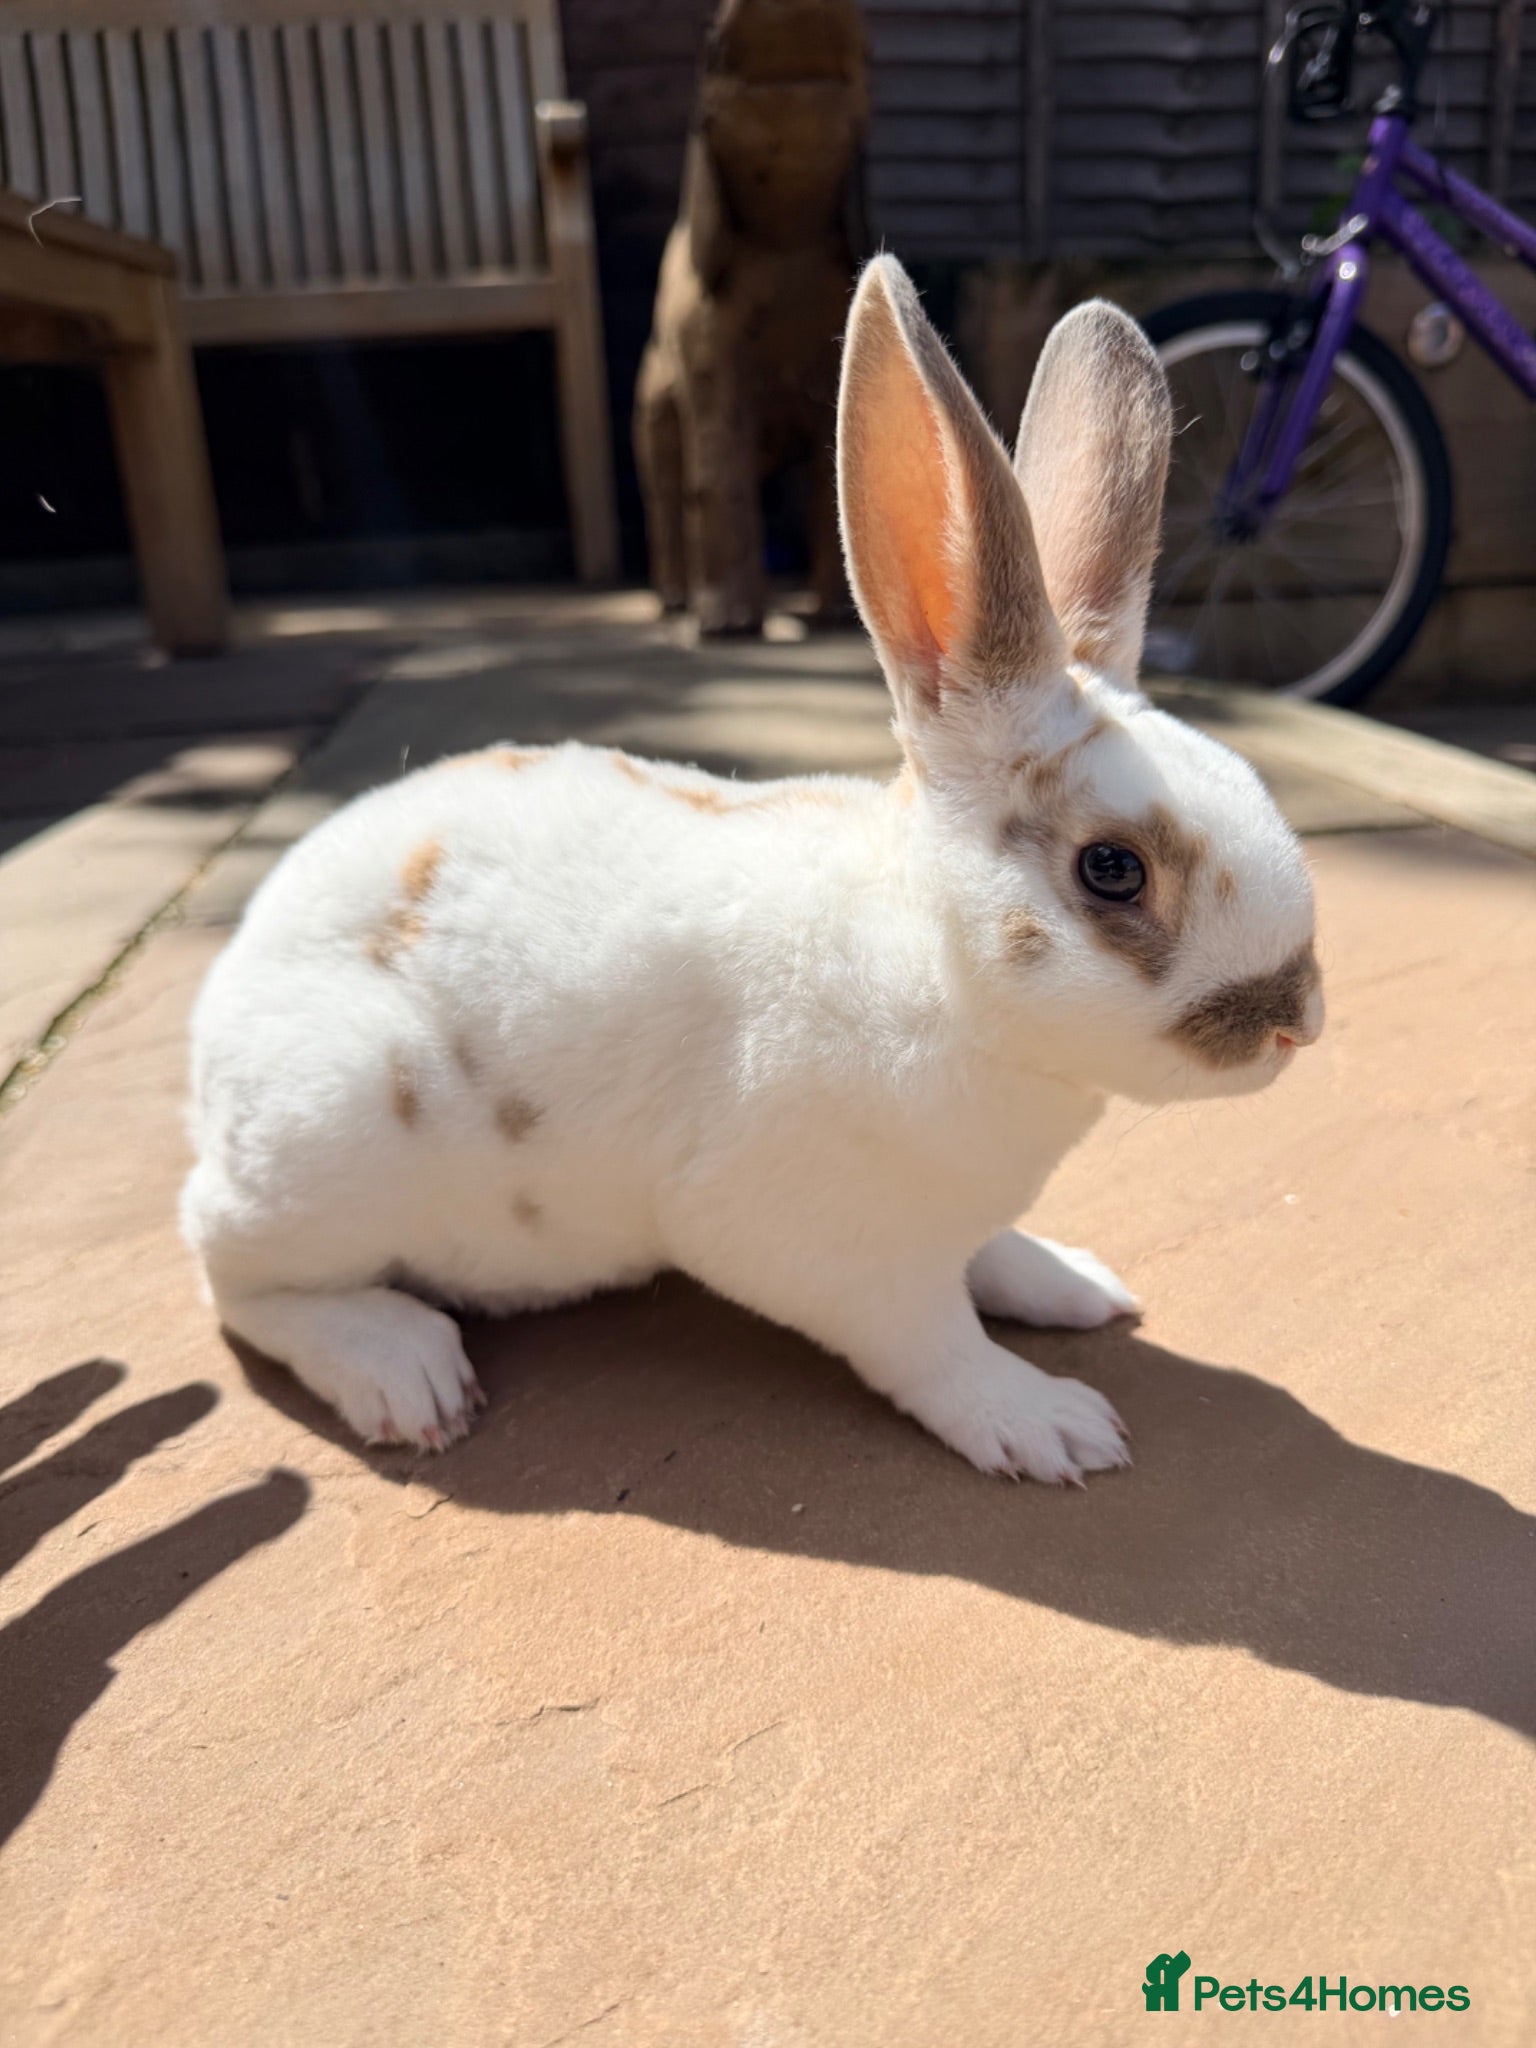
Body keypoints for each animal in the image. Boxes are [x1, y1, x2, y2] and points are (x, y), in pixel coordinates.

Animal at [182, 255, 1322, 1484]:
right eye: (1112, 870)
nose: (1296, 1021)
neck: (936, 972)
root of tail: (215, 1036)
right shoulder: (823, 1244)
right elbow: (930, 1341)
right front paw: (1051, 1425)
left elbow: (990, 1256)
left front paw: (1071, 1282)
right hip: (326, 1143)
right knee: (232, 1272)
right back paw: (406, 1373)